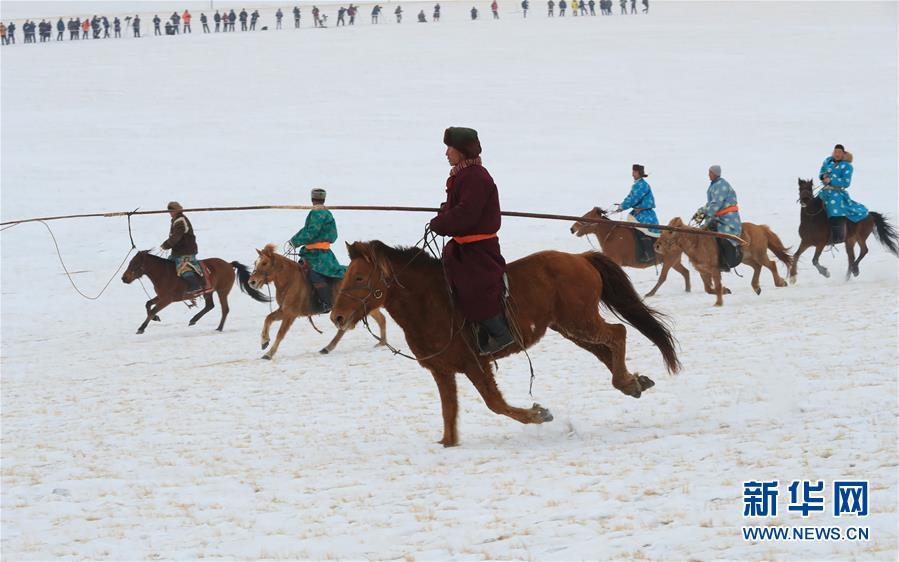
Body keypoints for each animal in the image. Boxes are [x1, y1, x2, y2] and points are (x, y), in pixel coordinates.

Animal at [121, 249, 272, 332]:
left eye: (134, 263)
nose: (124, 278)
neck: (163, 274)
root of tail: (229, 265)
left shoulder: (167, 299)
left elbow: (152, 309)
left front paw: (141, 328)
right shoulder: (161, 296)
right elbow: (148, 304)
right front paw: (155, 318)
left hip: (222, 291)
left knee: (225, 309)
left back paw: (219, 328)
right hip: (209, 292)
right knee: (210, 305)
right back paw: (193, 320)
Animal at [248, 242, 388, 358]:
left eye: (264, 263)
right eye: (255, 263)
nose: (252, 282)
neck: (290, 281)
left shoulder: (290, 314)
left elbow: (280, 333)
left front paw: (269, 353)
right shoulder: (284, 311)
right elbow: (268, 318)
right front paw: (264, 341)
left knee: (345, 328)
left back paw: (328, 347)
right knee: (381, 319)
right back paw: (382, 342)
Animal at [332, 241, 684, 446]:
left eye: (360, 278)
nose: (336, 317)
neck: (429, 301)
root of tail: (579, 258)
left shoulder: (475, 364)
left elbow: (495, 404)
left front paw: (539, 414)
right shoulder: (442, 371)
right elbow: (449, 413)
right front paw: (448, 444)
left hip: (580, 322)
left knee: (617, 334)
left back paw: (626, 381)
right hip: (570, 327)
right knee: (606, 349)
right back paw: (631, 382)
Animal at [652, 218, 796, 306]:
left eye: (671, 231)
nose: (656, 246)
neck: (697, 243)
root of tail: (760, 228)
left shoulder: (715, 270)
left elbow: (716, 286)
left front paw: (718, 303)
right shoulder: (703, 272)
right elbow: (708, 289)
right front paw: (725, 290)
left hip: (759, 254)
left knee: (771, 264)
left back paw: (780, 282)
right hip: (746, 258)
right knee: (757, 266)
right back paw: (756, 286)